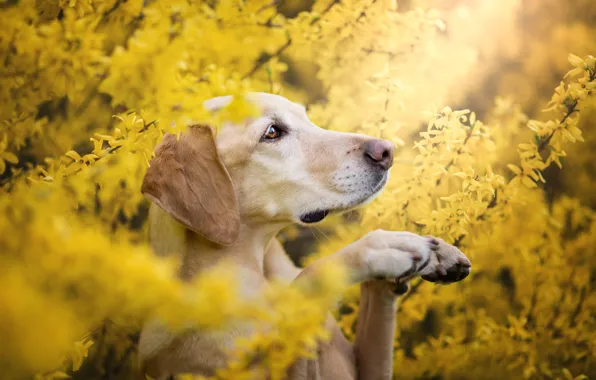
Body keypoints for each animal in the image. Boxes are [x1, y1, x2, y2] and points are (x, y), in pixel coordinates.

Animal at [136, 93, 470, 380]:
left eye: (306, 117)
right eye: (272, 132)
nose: (386, 151)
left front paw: (435, 253)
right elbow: (306, 282)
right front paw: (381, 248)